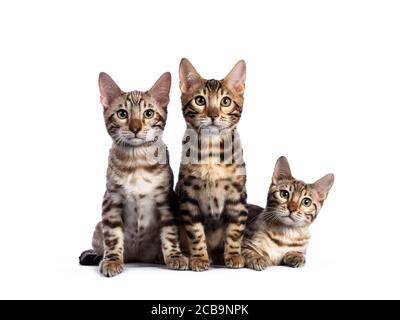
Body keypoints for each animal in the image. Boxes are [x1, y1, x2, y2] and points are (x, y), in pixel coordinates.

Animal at [80, 71, 190, 276]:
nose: (136, 128)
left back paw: (159, 257)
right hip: (98, 228)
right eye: (122, 114)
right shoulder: (111, 200)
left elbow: (170, 233)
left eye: (149, 113)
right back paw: (97, 256)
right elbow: (113, 236)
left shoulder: (166, 200)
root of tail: (137, 258)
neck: (137, 161)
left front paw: (175, 256)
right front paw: (112, 260)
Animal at [177, 58, 248, 272]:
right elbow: (195, 232)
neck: (211, 150)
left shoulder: (237, 196)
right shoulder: (188, 197)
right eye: (200, 100)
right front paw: (199, 258)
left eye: (226, 101)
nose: (213, 114)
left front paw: (233, 255)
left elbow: (235, 230)